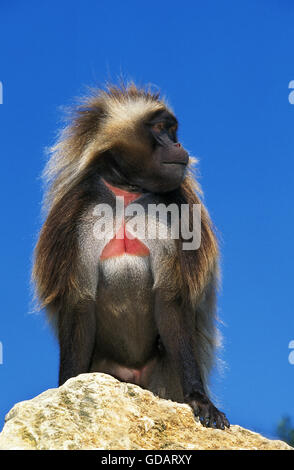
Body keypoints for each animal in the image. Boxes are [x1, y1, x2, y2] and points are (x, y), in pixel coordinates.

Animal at [32, 83, 230, 430]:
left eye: (172, 130)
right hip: (107, 371)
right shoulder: (79, 214)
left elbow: (170, 298)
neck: (126, 191)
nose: (179, 145)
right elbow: (80, 303)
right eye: (161, 129)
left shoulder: (173, 214)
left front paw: (200, 399)